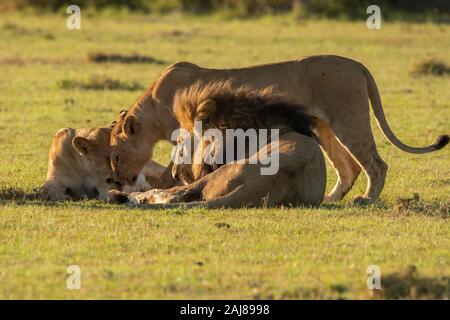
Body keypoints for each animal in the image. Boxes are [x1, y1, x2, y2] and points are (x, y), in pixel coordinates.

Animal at [24, 126, 165, 201]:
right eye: (111, 157)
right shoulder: (55, 180)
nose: (122, 179)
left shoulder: (104, 187)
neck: (84, 168)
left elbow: (109, 193)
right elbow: (44, 190)